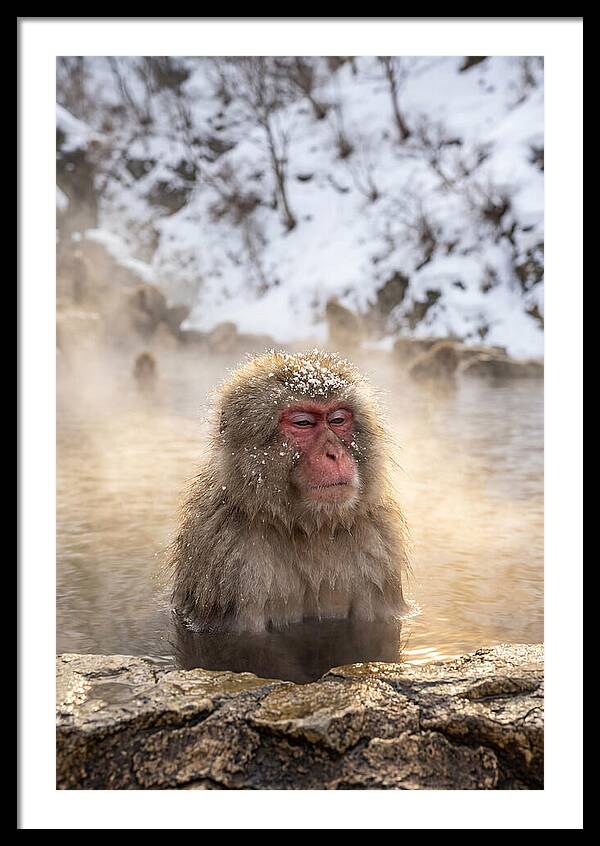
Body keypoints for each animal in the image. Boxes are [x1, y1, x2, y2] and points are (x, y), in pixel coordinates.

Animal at [170, 349, 410, 633]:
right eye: (303, 423)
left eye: (338, 419)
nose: (334, 454)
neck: (309, 529)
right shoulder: (228, 559)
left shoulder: (378, 547)